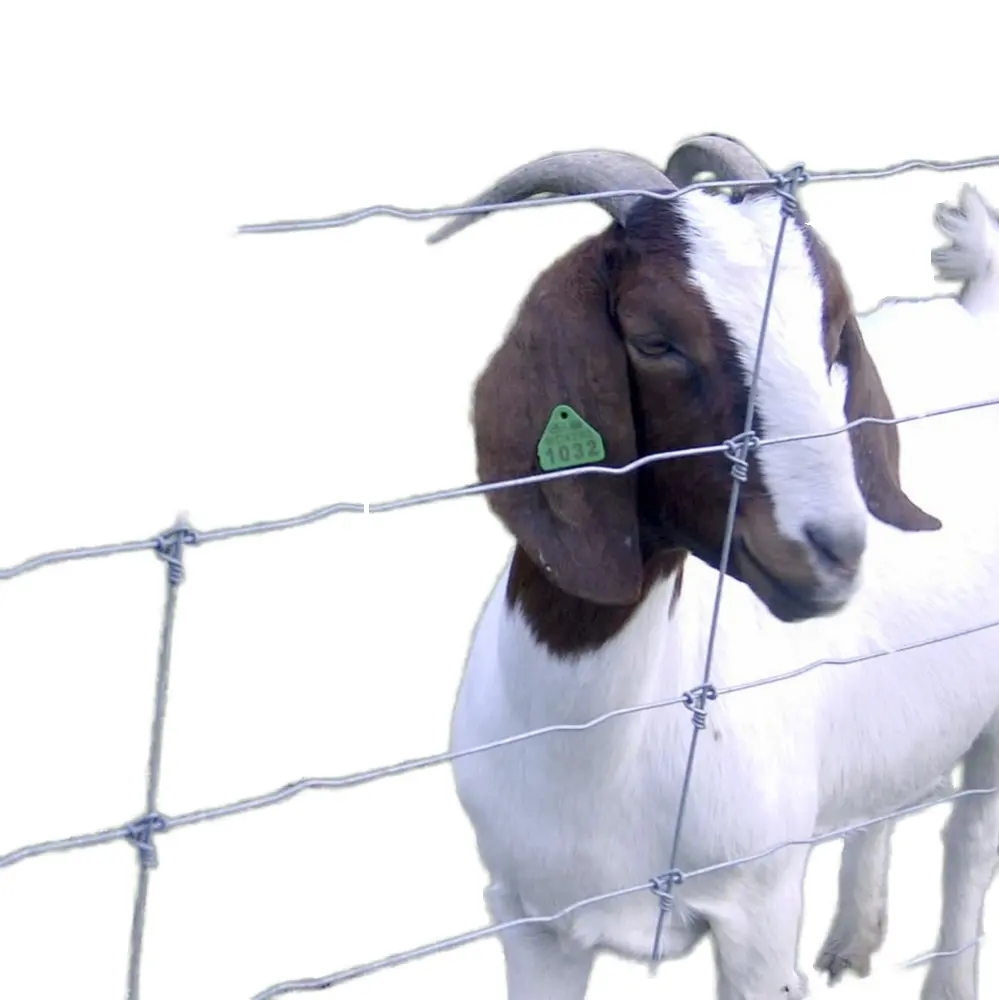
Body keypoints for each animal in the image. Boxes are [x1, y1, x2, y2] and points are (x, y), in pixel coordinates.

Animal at [440, 135, 999, 1000]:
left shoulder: (758, 909)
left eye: (833, 338)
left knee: (968, 842)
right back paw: (851, 940)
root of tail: (975, 311)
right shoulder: (528, 919)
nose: (834, 550)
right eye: (653, 340)